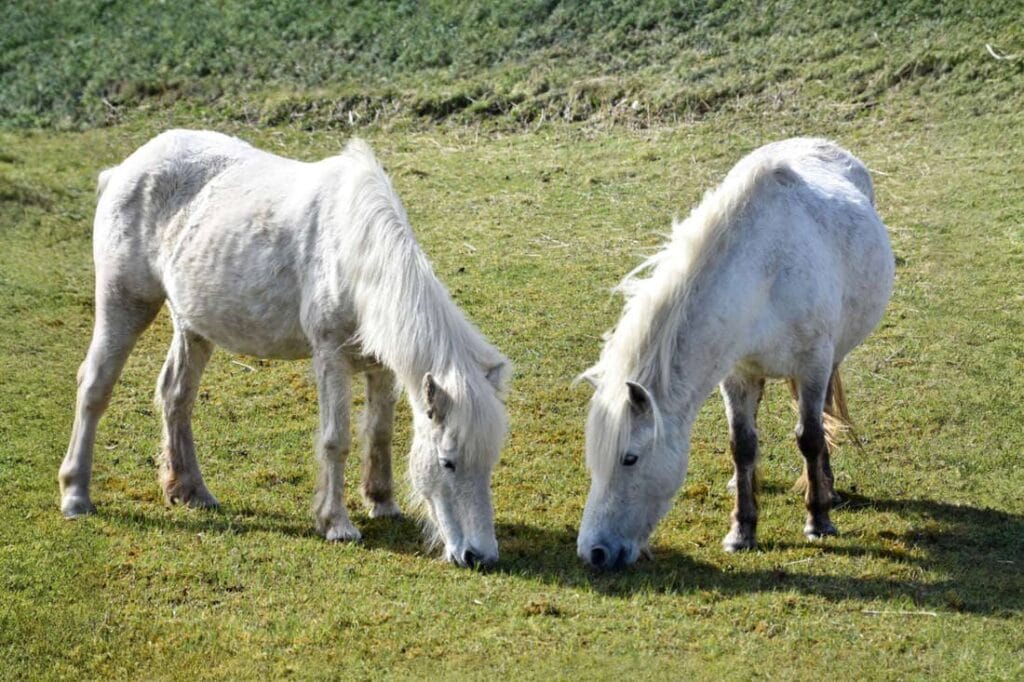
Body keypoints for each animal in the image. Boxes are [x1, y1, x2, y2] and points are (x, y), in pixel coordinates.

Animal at [58, 130, 510, 568]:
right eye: (448, 462)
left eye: (489, 460)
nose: (479, 557)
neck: (352, 254)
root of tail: (124, 170)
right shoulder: (331, 358)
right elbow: (336, 439)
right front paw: (336, 523)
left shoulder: (380, 366)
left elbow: (379, 432)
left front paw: (382, 502)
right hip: (124, 304)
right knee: (95, 388)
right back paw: (76, 495)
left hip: (193, 326)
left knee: (175, 396)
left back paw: (190, 491)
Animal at [576, 138, 894, 569]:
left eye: (630, 458)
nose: (593, 552)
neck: (765, 272)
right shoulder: (737, 373)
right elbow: (741, 445)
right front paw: (741, 531)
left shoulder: (813, 364)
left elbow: (810, 437)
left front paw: (818, 519)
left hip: (832, 357)